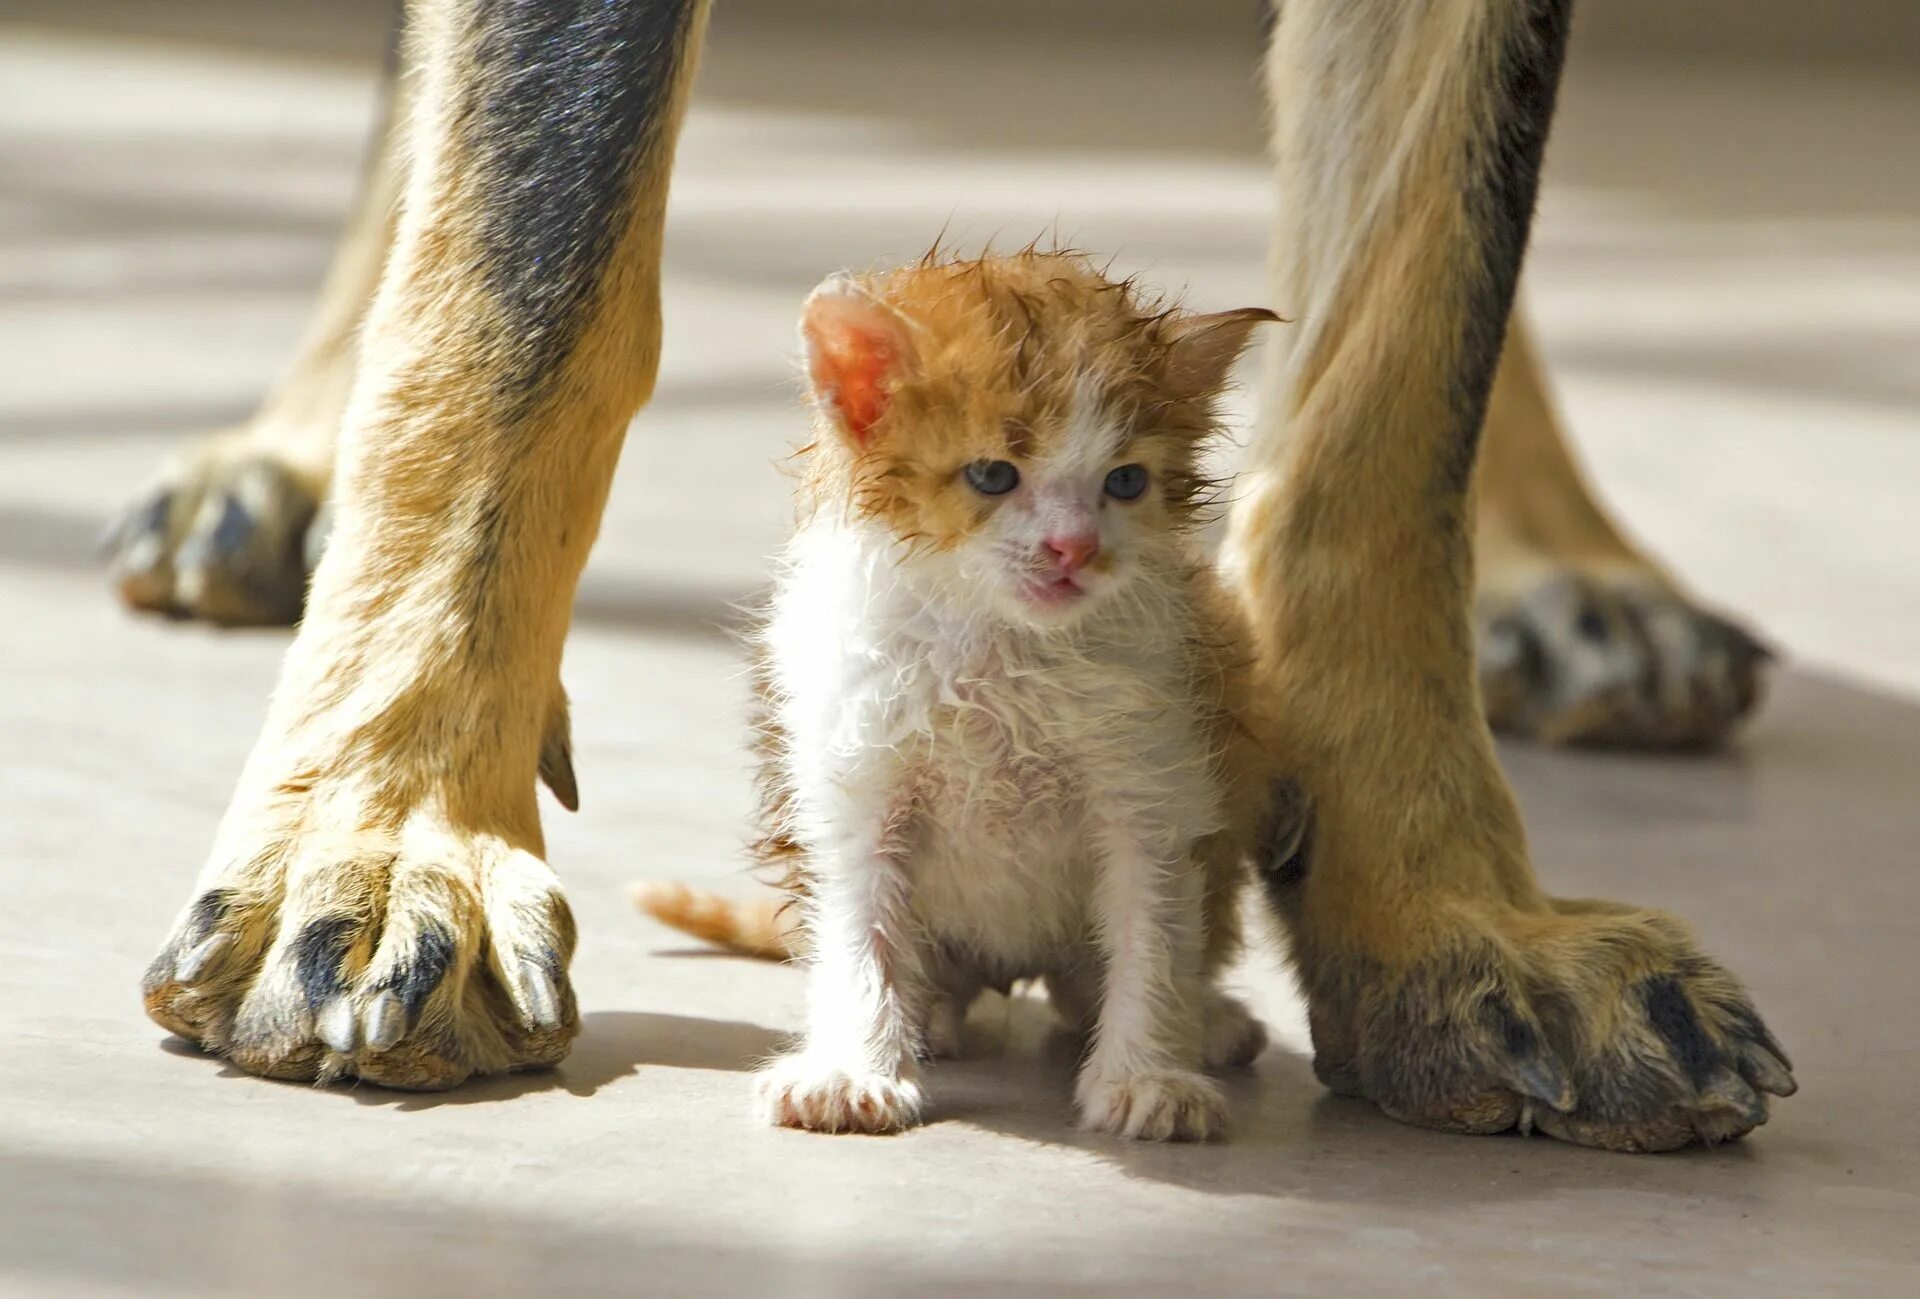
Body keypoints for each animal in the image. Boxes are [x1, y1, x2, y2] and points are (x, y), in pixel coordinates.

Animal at [672, 247, 1274, 1143]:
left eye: (1127, 481)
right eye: (993, 475)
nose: (1074, 548)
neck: (1000, 648)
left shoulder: (1153, 779)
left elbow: (1154, 933)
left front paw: (1148, 1074)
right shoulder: (856, 780)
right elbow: (859, 929)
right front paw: (852, 1067)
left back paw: (1205, 1018)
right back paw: (927, 1015)